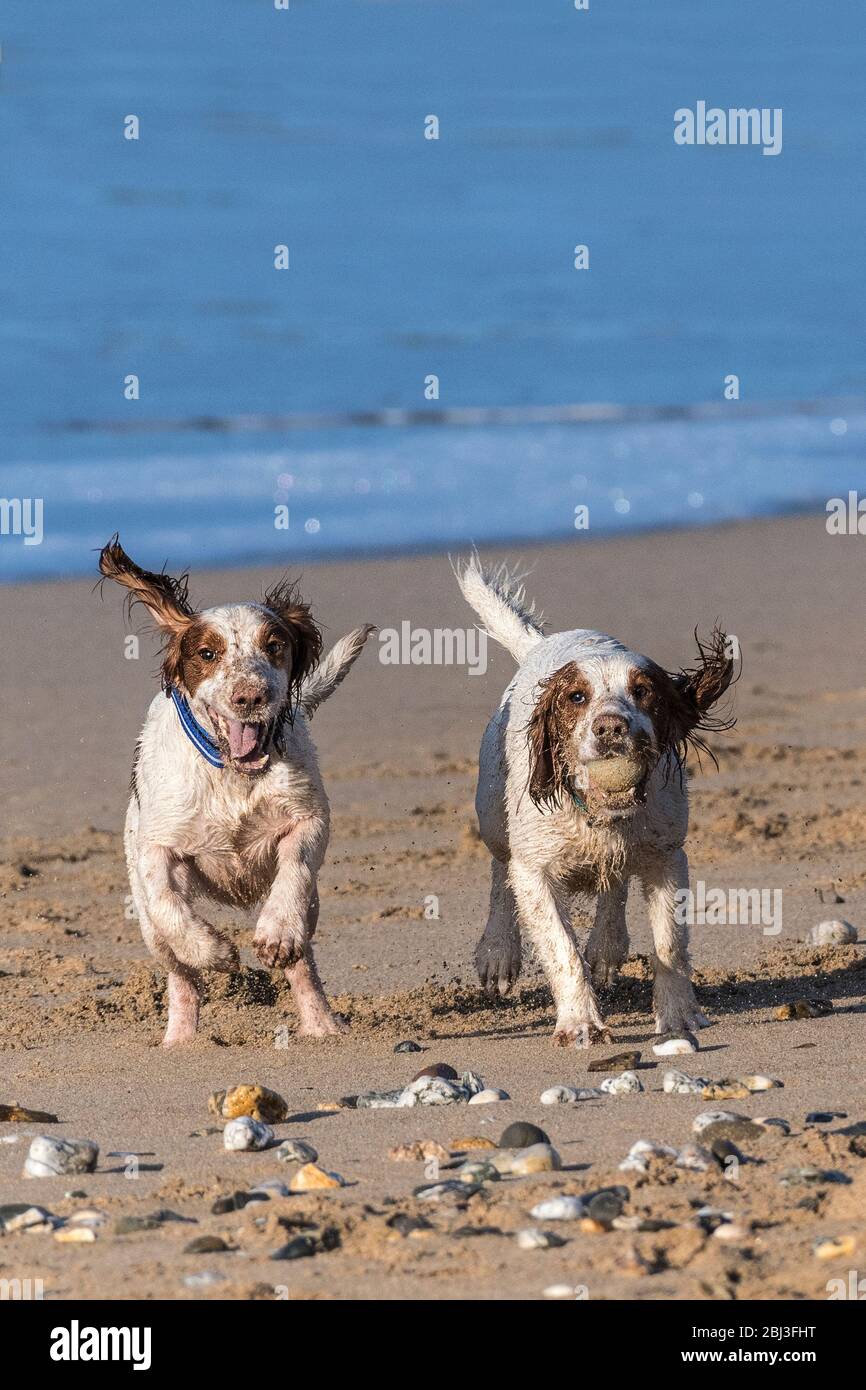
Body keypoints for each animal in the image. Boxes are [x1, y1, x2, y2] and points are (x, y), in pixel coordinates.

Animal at [100, 536, 375, 1045]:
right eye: (208, 654)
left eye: (275, 646)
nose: (250, 697)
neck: (233, 774)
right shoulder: (157, 847)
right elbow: (167, 903)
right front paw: (214, 952)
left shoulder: (308, 817)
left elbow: (295, 867)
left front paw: (276, 933)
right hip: (148, 926)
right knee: (178, 972)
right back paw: (180, 1039)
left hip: (311, 913)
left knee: (303, 964)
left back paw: (321, 1024)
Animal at [458, 553, 733, 1045]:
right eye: (576, 697)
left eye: (643, 691)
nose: (610, 727)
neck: (598, 813)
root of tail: (544, 644)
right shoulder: (536, 870)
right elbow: (560, 947)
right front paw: (580, 1023)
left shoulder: (666, 854)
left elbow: (669, 943)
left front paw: (679, 1017)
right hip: (492, 814)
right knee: (500, 870)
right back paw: (498, 952)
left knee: (615, 882)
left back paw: (606, 947)